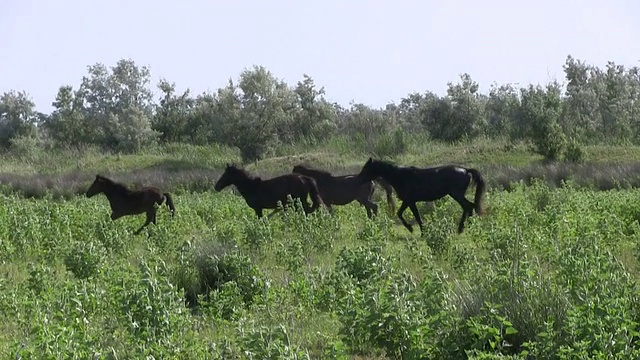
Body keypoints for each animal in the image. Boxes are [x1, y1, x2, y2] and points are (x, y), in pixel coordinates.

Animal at [356, 158, 484, 233]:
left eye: (366, 168)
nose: (358, 179)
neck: (400, 176)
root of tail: (465, 170)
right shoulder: (407, 201)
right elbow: (400, 213)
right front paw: (411, 228)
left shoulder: (411, 201)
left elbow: (416, 216)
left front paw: (419, 230)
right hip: (457, 195)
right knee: (469, 206)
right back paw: (466, 227)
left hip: (457, 194)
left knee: (468, 206)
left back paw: (462, 228)